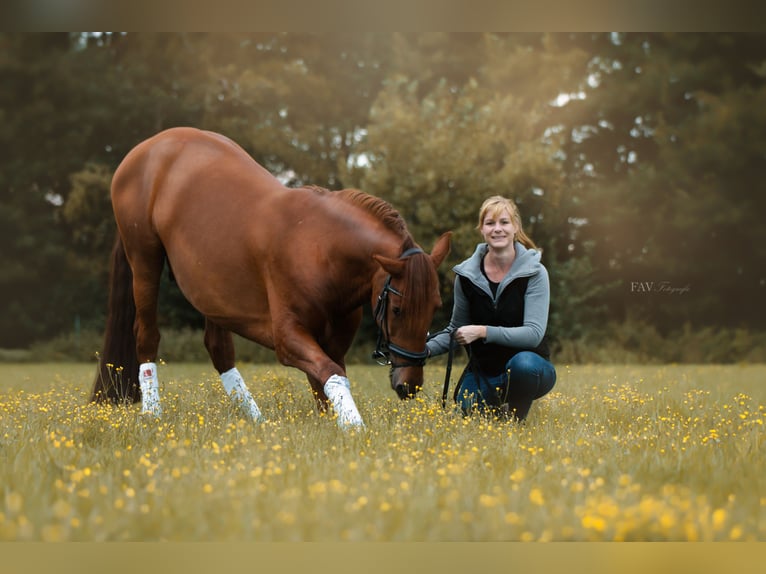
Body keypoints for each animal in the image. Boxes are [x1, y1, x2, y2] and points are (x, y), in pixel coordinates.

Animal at [90, 127, 451, 428]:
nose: (409, 385)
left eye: (434, 307)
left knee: (219, 349)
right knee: (146, 335)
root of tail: (148, 147)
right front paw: (353, 426)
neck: (320, 250)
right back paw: (154, 413)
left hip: (211, 291)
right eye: (398, 310)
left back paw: (256, 421)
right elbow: (330, 372)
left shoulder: (332, 341)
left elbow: (325, 381)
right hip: (144, 261)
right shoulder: (287, 338)